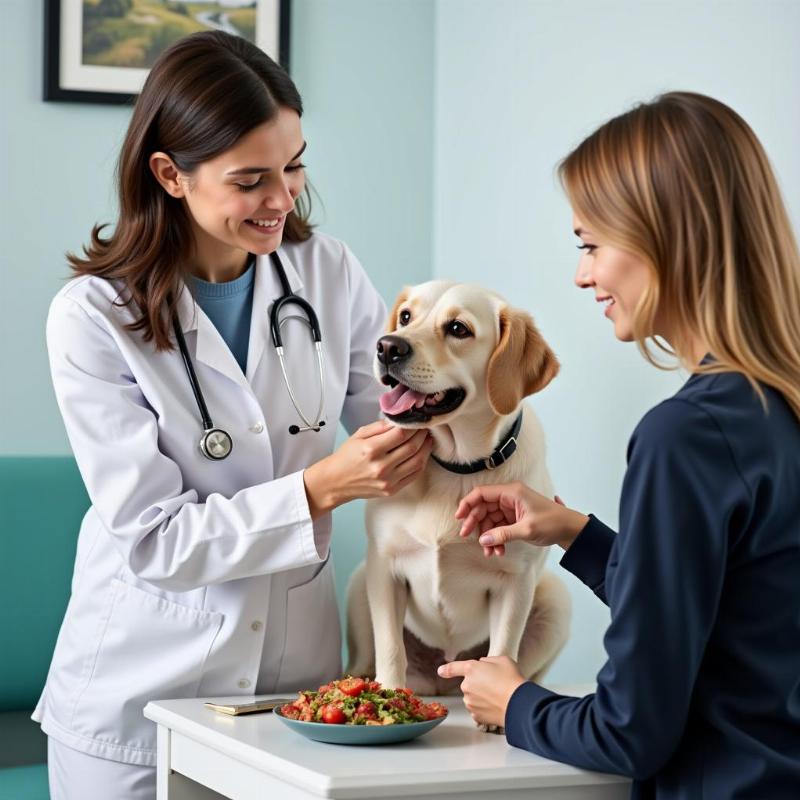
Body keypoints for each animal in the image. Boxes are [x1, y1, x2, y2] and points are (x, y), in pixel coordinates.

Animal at [346, 282, 572, 708]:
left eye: (458, 328)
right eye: (406, 316)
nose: (387, 347)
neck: (457, 467)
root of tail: (441, 682)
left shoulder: (515, 581)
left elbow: (503, 649)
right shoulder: (384, 567)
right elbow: (391, 649)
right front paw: (388, 697)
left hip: (554, 598)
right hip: (358, 580)